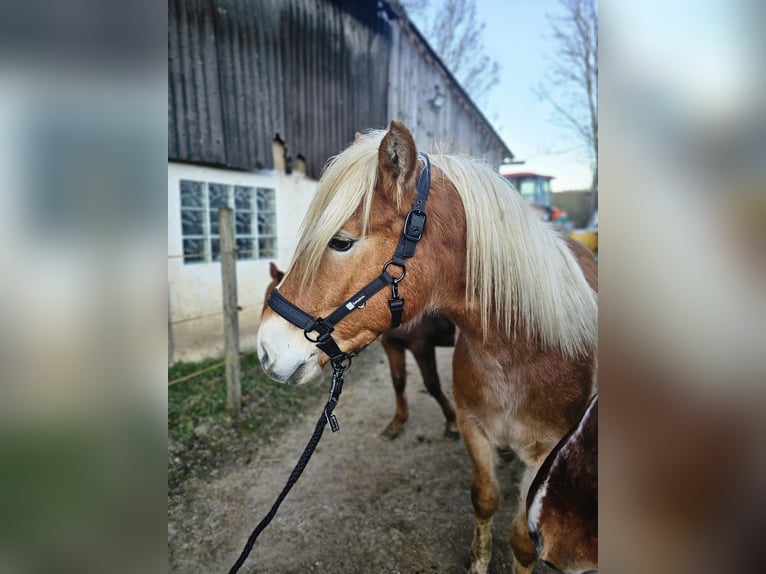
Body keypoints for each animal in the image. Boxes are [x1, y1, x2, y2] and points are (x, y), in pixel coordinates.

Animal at [264, 261, 460, 439]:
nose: (267, 354)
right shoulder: (392, 345)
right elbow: (398, 381)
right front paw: (397, 422)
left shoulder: (421, 345)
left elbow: (432, 384)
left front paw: (452, 421)